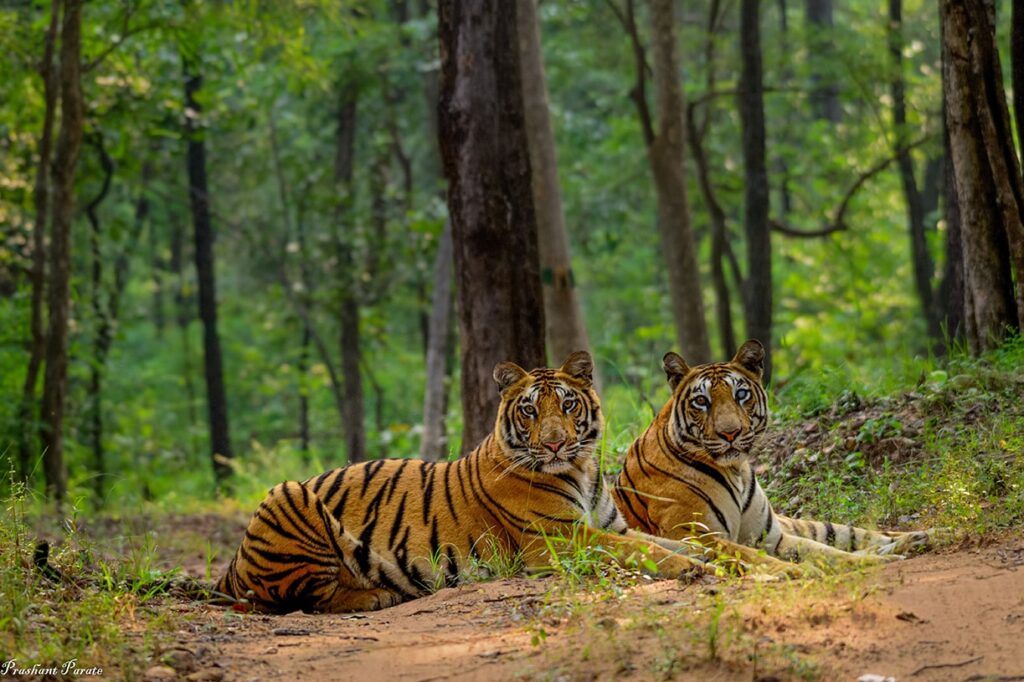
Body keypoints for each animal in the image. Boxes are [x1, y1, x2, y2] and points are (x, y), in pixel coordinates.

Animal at [215, 351, 718, 614]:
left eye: (568, 405)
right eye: (530, 410)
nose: (555, 444)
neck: (579, 469)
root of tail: (232, 562)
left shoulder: (612, 527)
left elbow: (672, 543)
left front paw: (721, 557)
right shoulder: (560, 538)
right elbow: (647, 552)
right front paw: (696, 569)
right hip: (288, 493)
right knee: (308, 599)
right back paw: (379, 594)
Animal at [612, 339, 948, 569]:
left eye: (741, 394)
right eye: (701, 401)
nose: (730, 433)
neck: (735, 471)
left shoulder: (771, 536)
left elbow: (822, 550)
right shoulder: (693, 533)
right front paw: (871, 562)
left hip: (811, 524)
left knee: (863, 533)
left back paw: (928, 534)